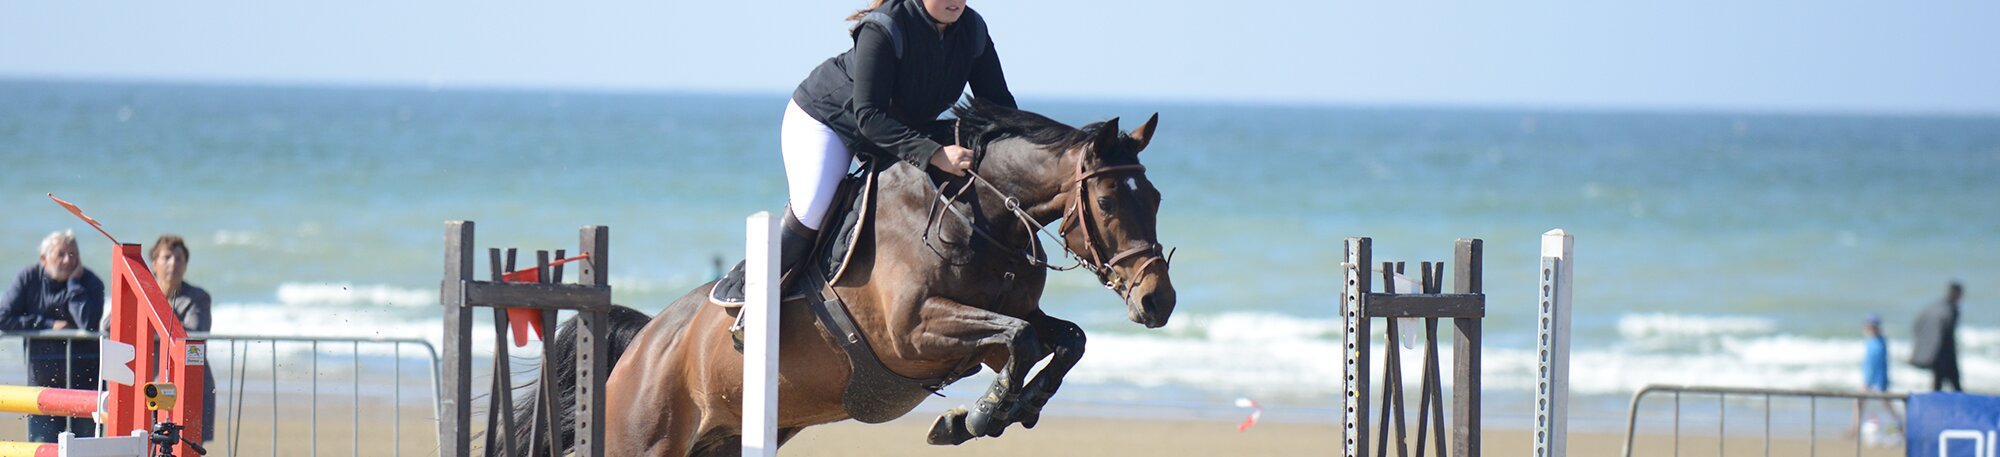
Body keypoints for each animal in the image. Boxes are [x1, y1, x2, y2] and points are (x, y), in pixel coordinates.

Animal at [514, 98, 1177, 456]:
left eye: (1156, 197)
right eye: (1110, 202)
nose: (1158, 301)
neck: (977, 216)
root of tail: (647, 340)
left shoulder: (992, 328)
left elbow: (1060, 339)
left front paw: (1013, 409)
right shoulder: (914, 334)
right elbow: (1023, 338)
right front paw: (979, 417)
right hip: (642, 435)